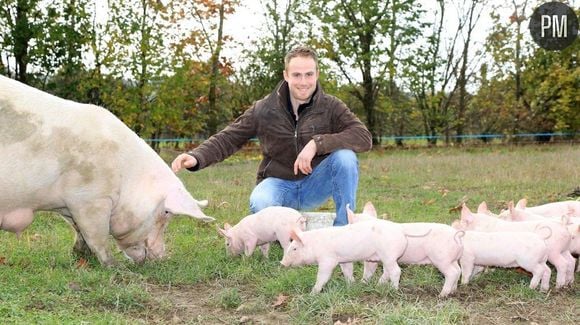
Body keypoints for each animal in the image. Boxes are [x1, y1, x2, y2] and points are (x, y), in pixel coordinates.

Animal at [0, 74, 213, 264]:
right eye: (166, 213)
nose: (162, 256)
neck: (127, 177)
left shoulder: (70, 204)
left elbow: (79, 231)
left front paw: (78, 256)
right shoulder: (90, 199)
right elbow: (97, 236)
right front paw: (113, 266)